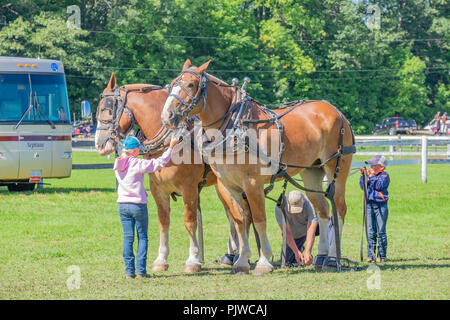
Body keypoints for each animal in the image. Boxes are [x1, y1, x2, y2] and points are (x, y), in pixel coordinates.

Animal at [93, 74, 237, 274]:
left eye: (106, 109)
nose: (99, 144)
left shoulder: (190, 188)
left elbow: (190, 221)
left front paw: (193, 260)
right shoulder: (158, 189)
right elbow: (163, 221)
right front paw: (161, 259)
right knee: (232, 214)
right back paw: (230, 256)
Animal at [161, 60, 356, 276]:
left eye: (190, 85)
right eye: (172, 84)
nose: (167, 116)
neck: (235, 127)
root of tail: (337, 113)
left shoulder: (253, 183)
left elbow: (259, 218)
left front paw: (264, 262)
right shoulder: (229, 185)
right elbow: (240, 220)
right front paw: (241, 261)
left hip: (337, 169)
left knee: (339, 208)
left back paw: (332, 258)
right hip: (311, 171)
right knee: (322, 210)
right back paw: (321, 257)